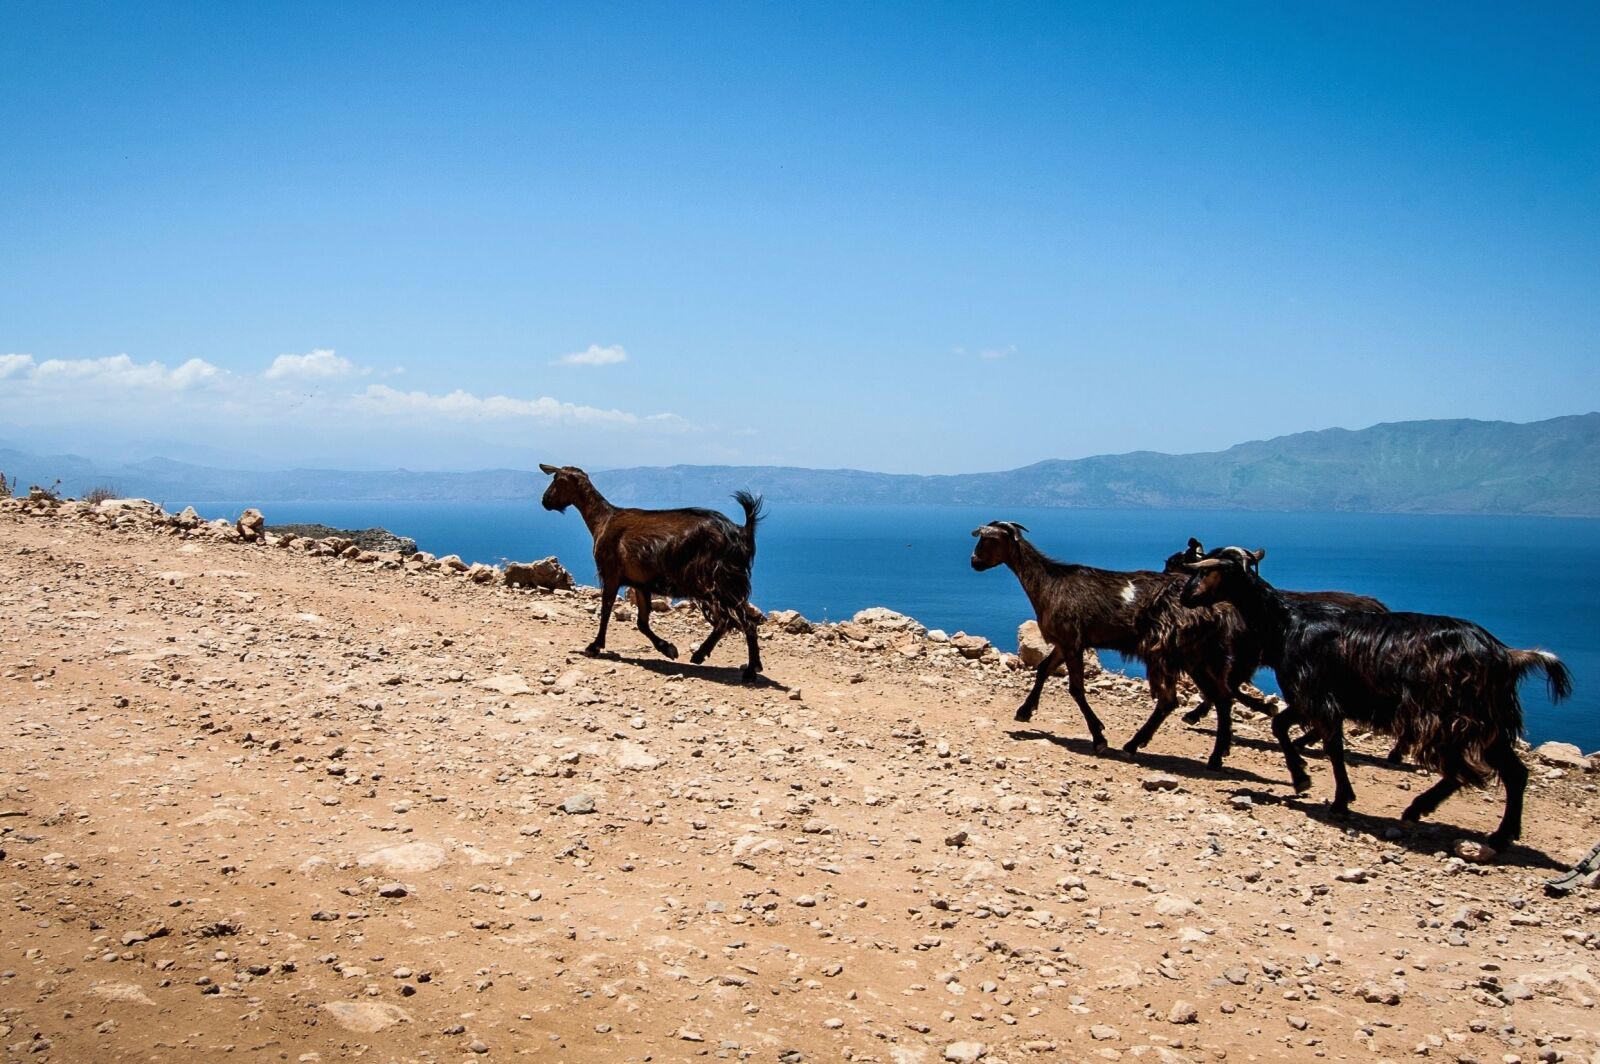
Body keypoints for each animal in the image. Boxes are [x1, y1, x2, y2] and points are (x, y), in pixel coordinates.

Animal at [539, 464, 766, 681]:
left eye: (556, 479)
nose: (545, 500)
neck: (603, 520)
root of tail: (741, 532)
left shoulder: (611, 573)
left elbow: (606, 609)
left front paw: (594, 646)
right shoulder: (640, 583)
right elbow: (642, 622)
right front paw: (668, 648)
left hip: (717, 582)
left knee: (742, 621)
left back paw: (749, 670)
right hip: (721, 585)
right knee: (730, 621)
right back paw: (704, 655)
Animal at [971, 521, 1257, 769]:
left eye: (988, 539)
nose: (974, 562)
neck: (1049, 583)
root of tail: (1220, 609)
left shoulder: (1071, 641)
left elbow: (1076, 688)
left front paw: (1099, 738)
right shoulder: (1065, 642)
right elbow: (1043, 669)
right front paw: (1024, 711)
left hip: (1173, 652)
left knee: (1178, 699)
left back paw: (1143, 745)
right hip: (1198, 656)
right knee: (1217, 697)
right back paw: (1211, 754)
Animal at [1180, 549, 1571, 853]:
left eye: (1208, 570)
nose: (1185, 596)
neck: (1287, 623)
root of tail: (1506, 655)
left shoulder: (1315, 696)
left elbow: (1328, 745)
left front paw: (1333, 795)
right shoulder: (1312, 698)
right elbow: (1284, 726)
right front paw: (1304, 777)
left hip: (1455, 715)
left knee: (1467, 769)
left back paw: (1433, 810)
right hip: (1487, 721)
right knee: (1511, 772)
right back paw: (1493, 832)